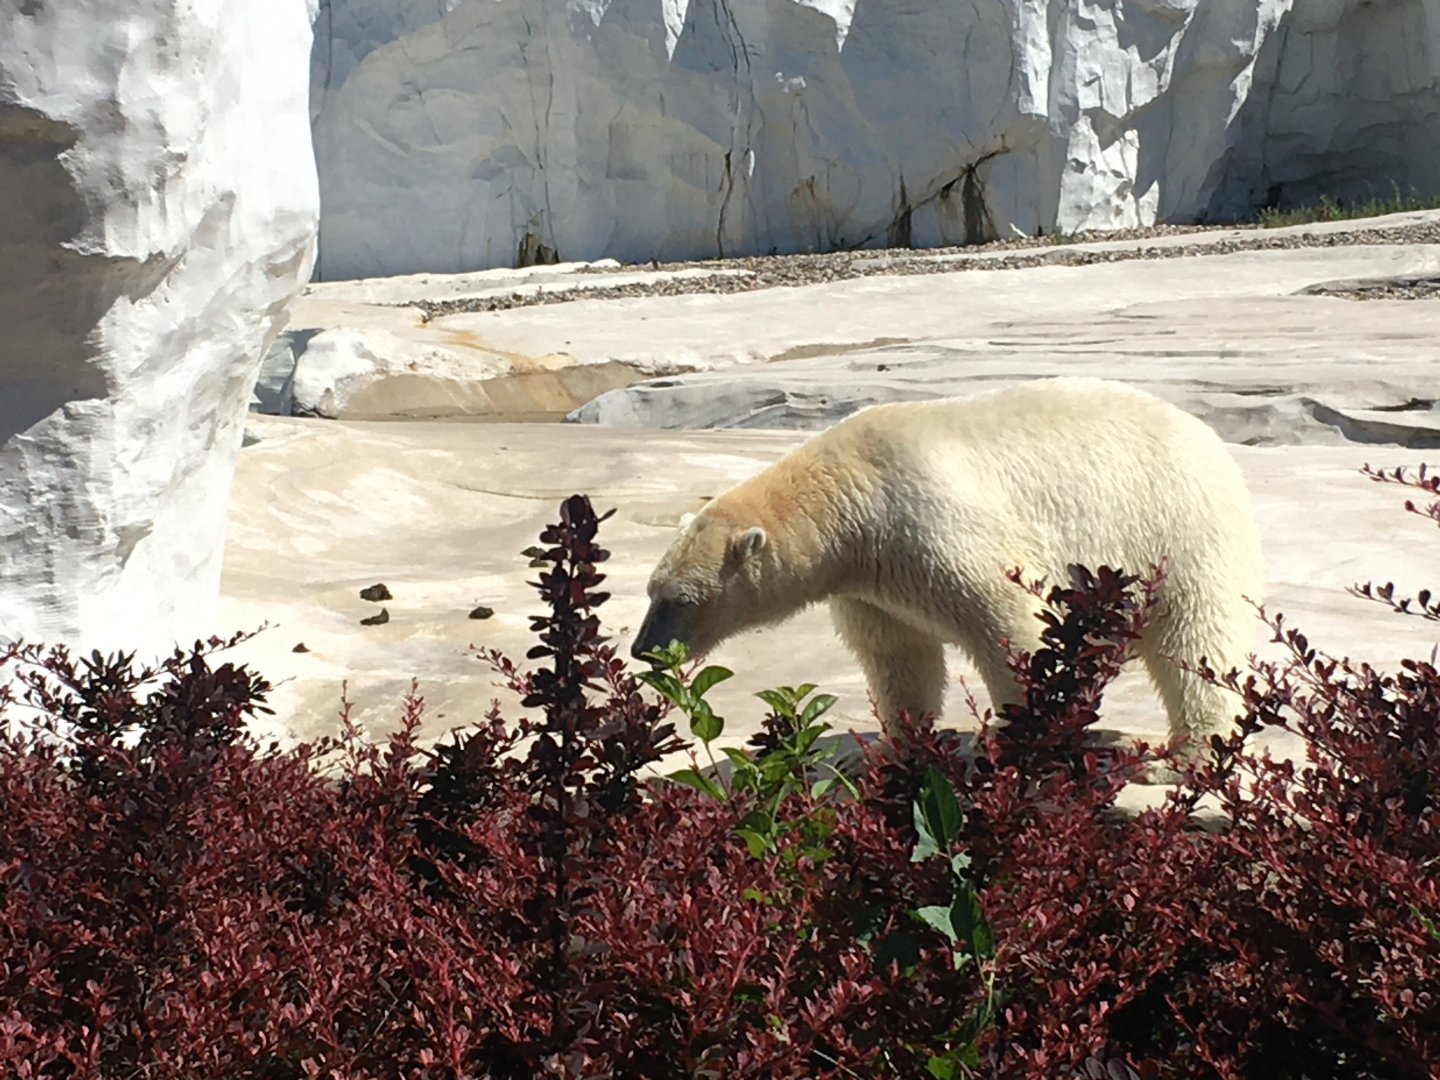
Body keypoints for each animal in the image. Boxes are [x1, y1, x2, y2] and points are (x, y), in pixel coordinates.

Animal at [630, 376, 1265, 761]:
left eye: (679, 600)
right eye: (652, 591)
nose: (642, 650)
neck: (849, 492)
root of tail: (1211, 440)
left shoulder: (928, 521)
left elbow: (1011, 623)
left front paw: (1018, 734)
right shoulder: (869, 578)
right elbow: (899, 653)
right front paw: (902, 743)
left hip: (1178, 531)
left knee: (1195, 641)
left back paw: (1187, 753)